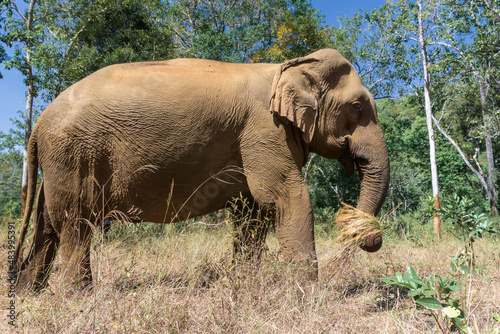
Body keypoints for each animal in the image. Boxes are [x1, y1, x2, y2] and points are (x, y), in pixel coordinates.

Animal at [14, 48, 390, 290]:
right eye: (357, 107)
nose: (366, 236)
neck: (287, 67)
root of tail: (39, 122)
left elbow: (251, 212)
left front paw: (247, 288)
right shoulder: (264, 130)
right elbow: (286, 199)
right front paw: (307, 297)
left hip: (61, 161)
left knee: (49, 222)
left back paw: (30, 293)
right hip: (72, 153)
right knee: (76, 221)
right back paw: (77, 297)